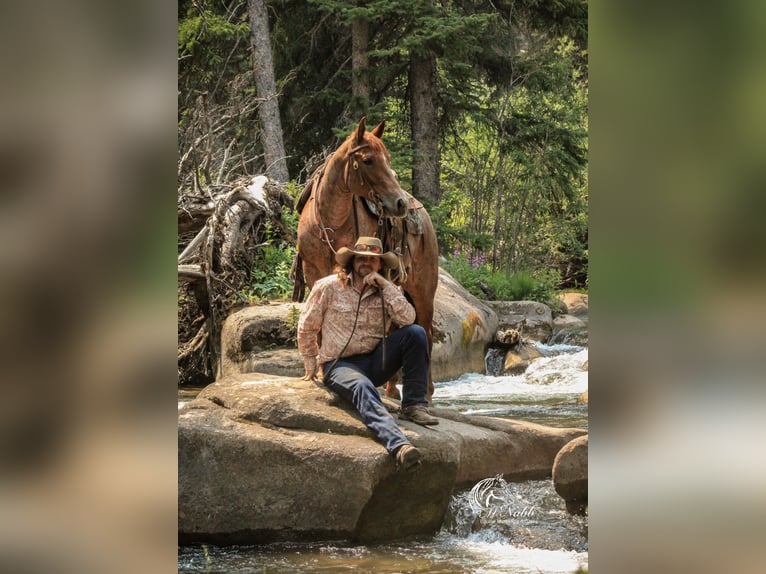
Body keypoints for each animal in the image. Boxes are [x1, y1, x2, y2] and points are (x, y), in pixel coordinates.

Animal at [292, 117, 438, 404]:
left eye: (388, 159)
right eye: (368, 160)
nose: (399, 203)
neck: (332, 222)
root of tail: (422, 212)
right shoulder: (314, 272)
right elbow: (320, 323)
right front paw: (320, 370)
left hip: (424, 291)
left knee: (425, 332)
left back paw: (426, 393)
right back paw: (392, 388)